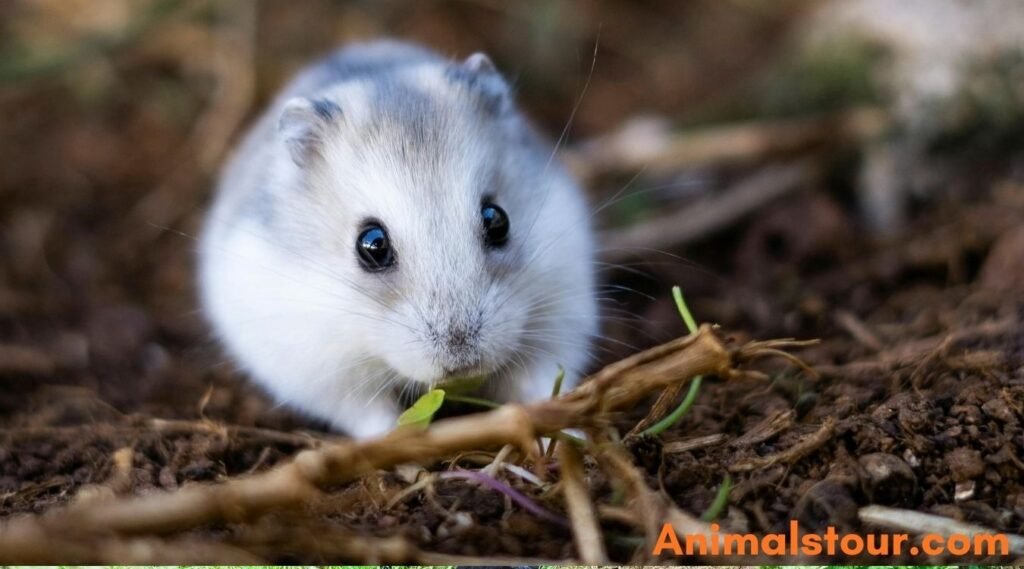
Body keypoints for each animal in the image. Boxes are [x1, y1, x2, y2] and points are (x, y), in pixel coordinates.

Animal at [198, 40, 597, 438]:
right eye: (372, 244)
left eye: (497, 220)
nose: (462, 357)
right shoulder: (323, 373)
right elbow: (372, 416)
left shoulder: (558, 321)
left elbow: (540, 387)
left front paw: (570, 437)